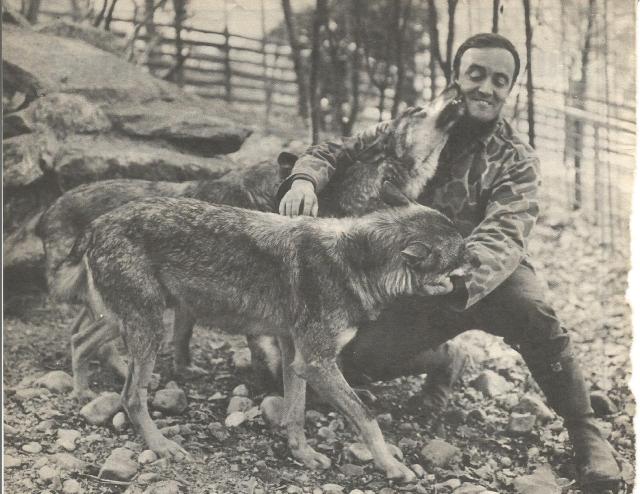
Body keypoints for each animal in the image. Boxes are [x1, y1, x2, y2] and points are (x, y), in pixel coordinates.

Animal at [55, 184, 464, 481]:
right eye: (460, 256)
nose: (476, 260)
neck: (356, 260)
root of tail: (98, 222)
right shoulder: (317, 363)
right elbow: (366, 417)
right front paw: (392, 467)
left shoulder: (295, 356)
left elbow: (296, 412)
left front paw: (303, 454)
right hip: (148, 328)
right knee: (131, 396)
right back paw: (160, 445)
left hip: (128, 320)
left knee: (79, 341)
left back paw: (81, 394)